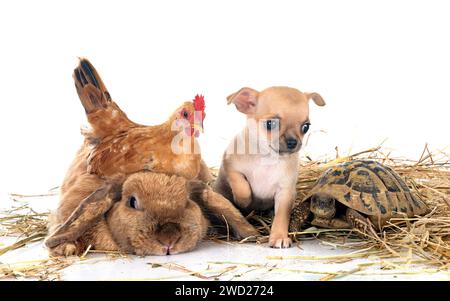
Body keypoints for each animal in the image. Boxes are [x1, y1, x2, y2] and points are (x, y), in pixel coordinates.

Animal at [213, 85, 326, 247]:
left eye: (306, 127)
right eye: (270, 124)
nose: (293, 142)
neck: (267, 158)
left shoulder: (285, 193)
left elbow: (281, 217)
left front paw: (279, 236)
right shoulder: (231, 167)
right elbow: (241, 186)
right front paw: (243, 201)